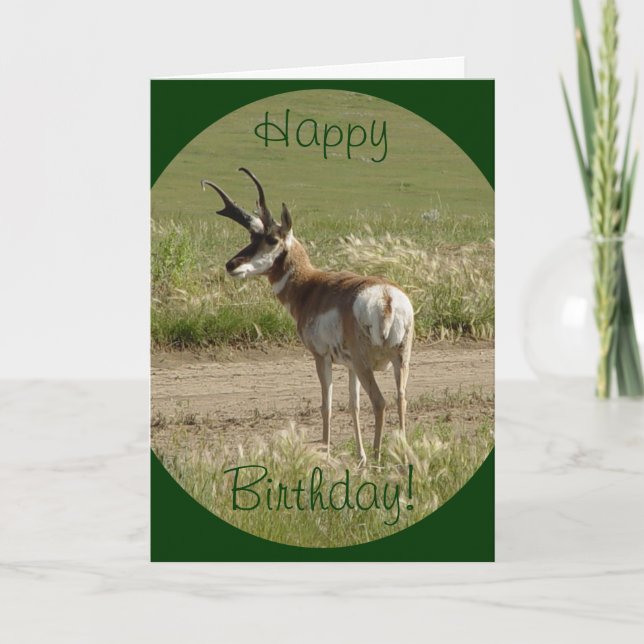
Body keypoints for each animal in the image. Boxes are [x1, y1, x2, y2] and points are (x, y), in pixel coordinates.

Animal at [202, 168, 414, 466]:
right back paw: (401, 456)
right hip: (399, 360)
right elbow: (353, 405)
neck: (311, 285)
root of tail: (386, 297)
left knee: (380, 402)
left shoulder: (321, 357)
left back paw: (377, 458)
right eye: (252, 238)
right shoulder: (349, 367)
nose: (231, 265)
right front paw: (358, 457)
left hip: (367, 364)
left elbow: (326, 405)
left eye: (271, 239)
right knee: (400, 399)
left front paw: (326, 451)